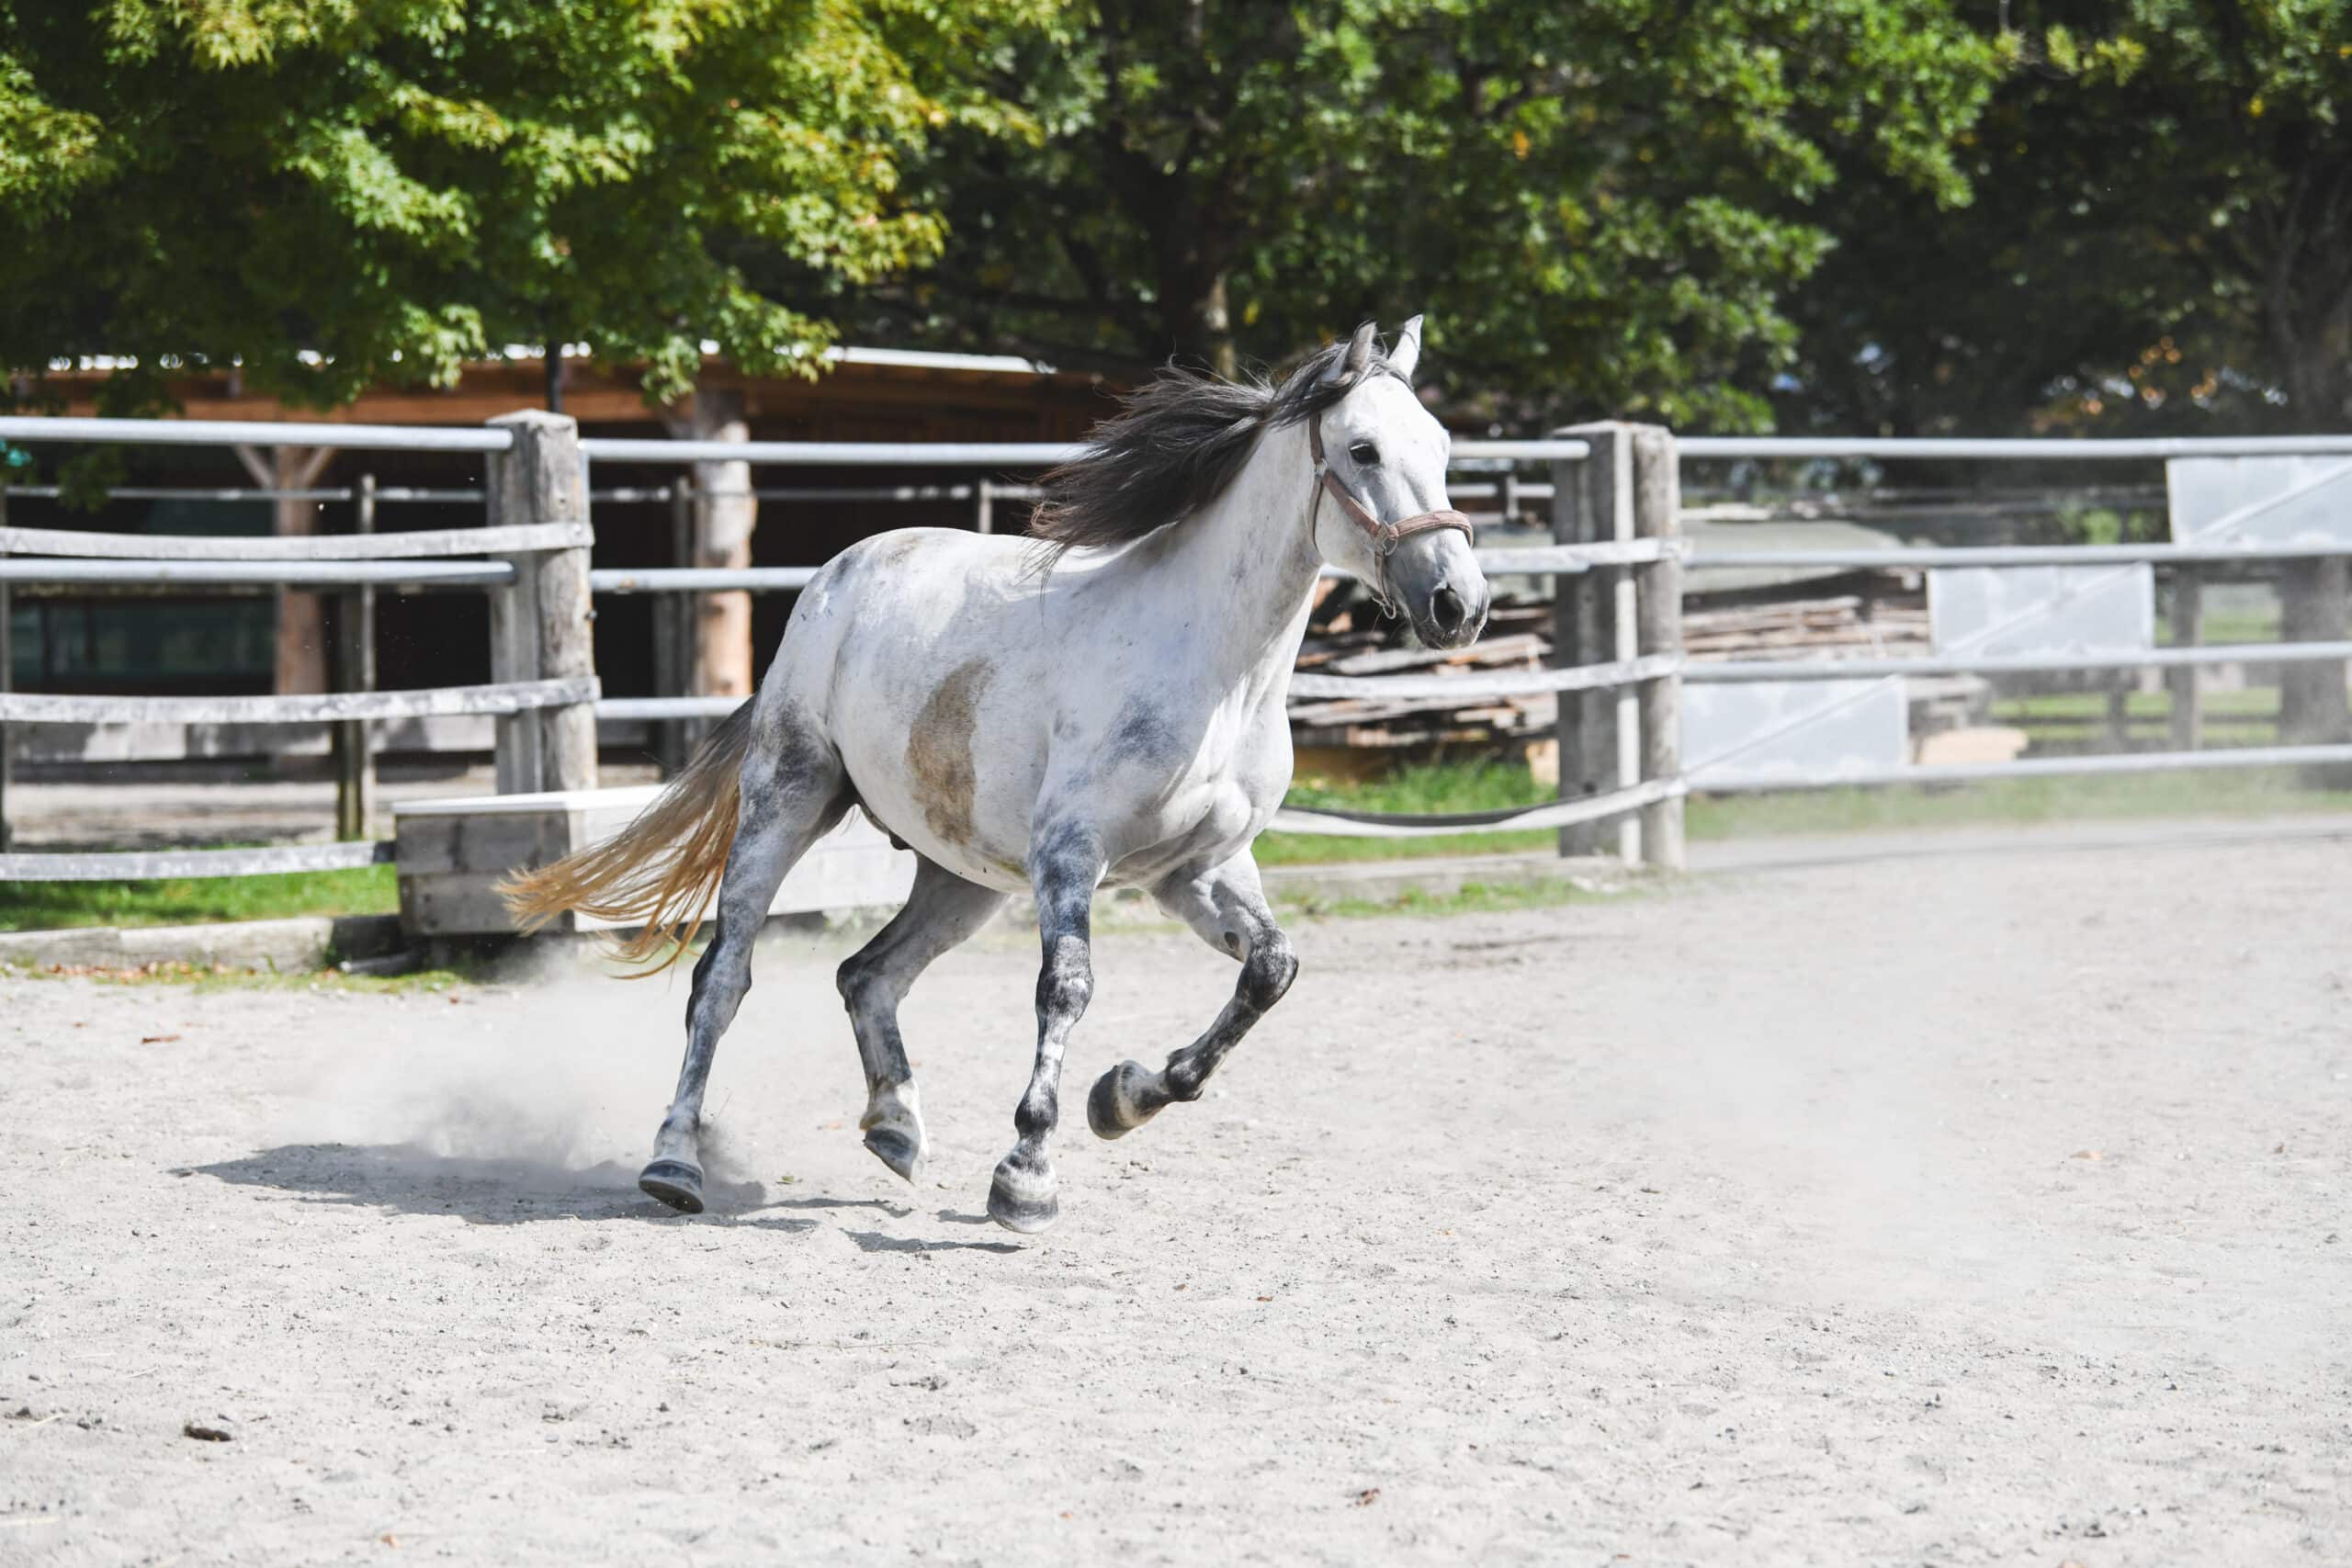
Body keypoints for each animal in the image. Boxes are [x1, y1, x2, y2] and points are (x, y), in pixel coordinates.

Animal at [502, 317, 1492, 1233]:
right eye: (1362, 450)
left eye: (1443, 447)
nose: (1460, 604)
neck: (1216, 670)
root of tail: (834, 578)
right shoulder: (1071, 855)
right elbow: (1068, 990)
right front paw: (1027, 1176)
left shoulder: (1197, 869)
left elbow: (1270, 971)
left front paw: (1122, 1098)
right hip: (789, 803)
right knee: (723, 978)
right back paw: (675, 1163)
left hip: (962, 874)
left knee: (868, 974)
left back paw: (896, 1127)